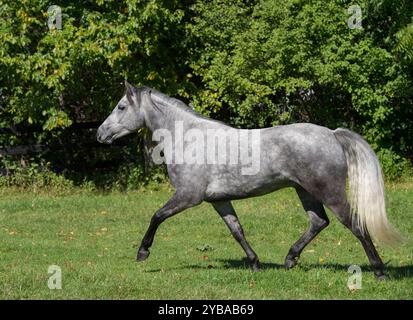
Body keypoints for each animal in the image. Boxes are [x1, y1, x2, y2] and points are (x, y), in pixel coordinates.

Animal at [97, 81, 402, 278]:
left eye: (121, 107)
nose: (100, 134)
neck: (187, 138)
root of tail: (332, 134)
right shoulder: (218, 200)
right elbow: (236, 230)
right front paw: (255, 263)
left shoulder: (188, 196)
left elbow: (157, 216)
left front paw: (142, 252)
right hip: (305, 191)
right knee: (318, 222)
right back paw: (289, 260)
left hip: (330, 193)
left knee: (355, 225)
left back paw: (379, 271)